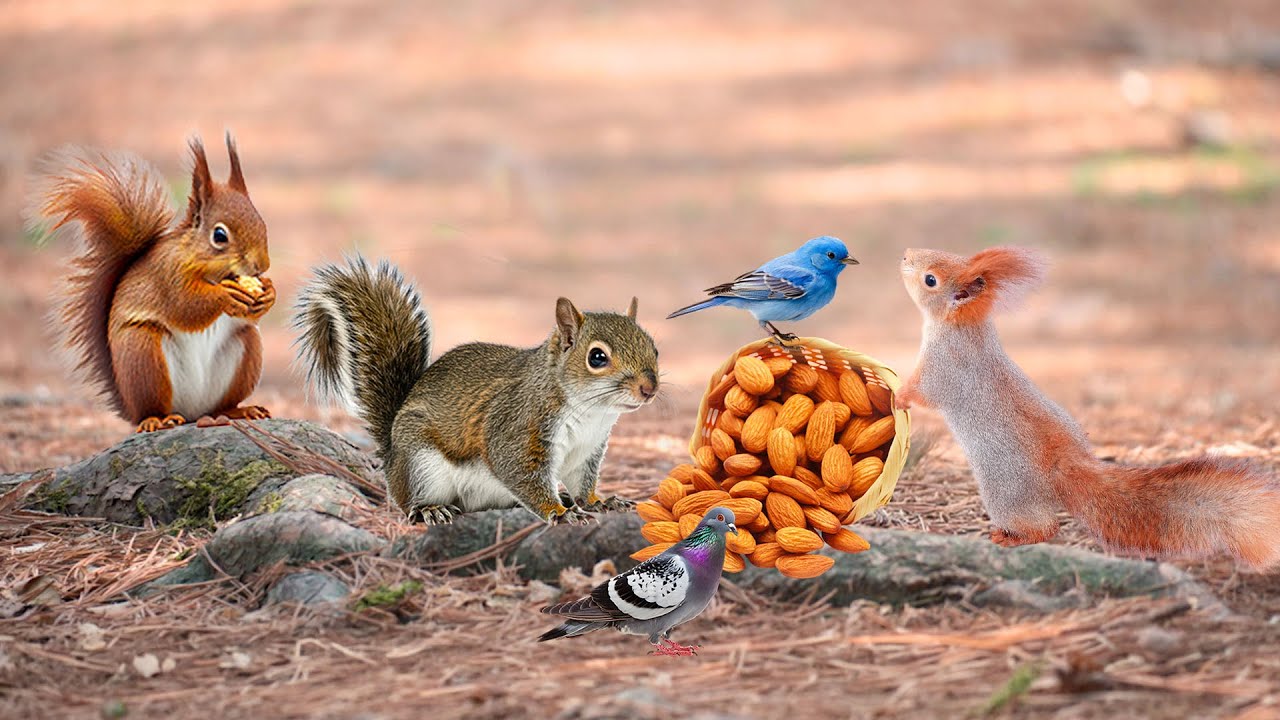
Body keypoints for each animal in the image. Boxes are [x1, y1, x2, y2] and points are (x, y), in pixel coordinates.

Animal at [30, 134, 275, 433]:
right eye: (219, 235)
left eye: (262, 223)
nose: (261, 265)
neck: (214, 274)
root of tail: (192, 412)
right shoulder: (167, 275)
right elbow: (185, 307)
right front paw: (225, 295)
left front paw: (269, 293)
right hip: (142, 355)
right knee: (151, 406)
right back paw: (157, 420)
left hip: (246, 350)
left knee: (223, 402)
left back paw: (239, 410)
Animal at [292, 256, 660, 524]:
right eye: (597, 357)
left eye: (654, 348)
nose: (649, 389)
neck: (591, 411)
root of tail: (391, 458)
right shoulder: (516, 429)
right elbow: (521, 473)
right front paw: (559, 513)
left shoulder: (586, 451)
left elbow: (583, 482)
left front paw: (599, 502)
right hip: (421, 465)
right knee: (410, 503)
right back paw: (430, 509)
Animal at [897, 245, 1280, 570]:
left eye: (931, 279)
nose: (905, 255)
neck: (964, 327)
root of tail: (1064, 467)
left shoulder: (942, 368)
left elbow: (924, 392)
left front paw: (899, 395)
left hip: (1003, 490)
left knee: (1044, 527)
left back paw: (1011, 538)